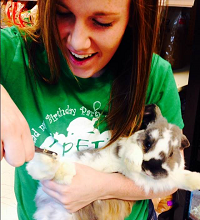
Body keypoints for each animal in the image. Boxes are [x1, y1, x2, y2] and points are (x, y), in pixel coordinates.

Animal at [26, 105, 200, 220]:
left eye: (171, 153)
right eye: (148, 143)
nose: (150, 167)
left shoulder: (155, 181)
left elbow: (179, 177)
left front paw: (196, 180)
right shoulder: (122, 145)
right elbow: (131, 146)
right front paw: (133, 162)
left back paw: (61, 170)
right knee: (38, 170)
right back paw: (51, 162)